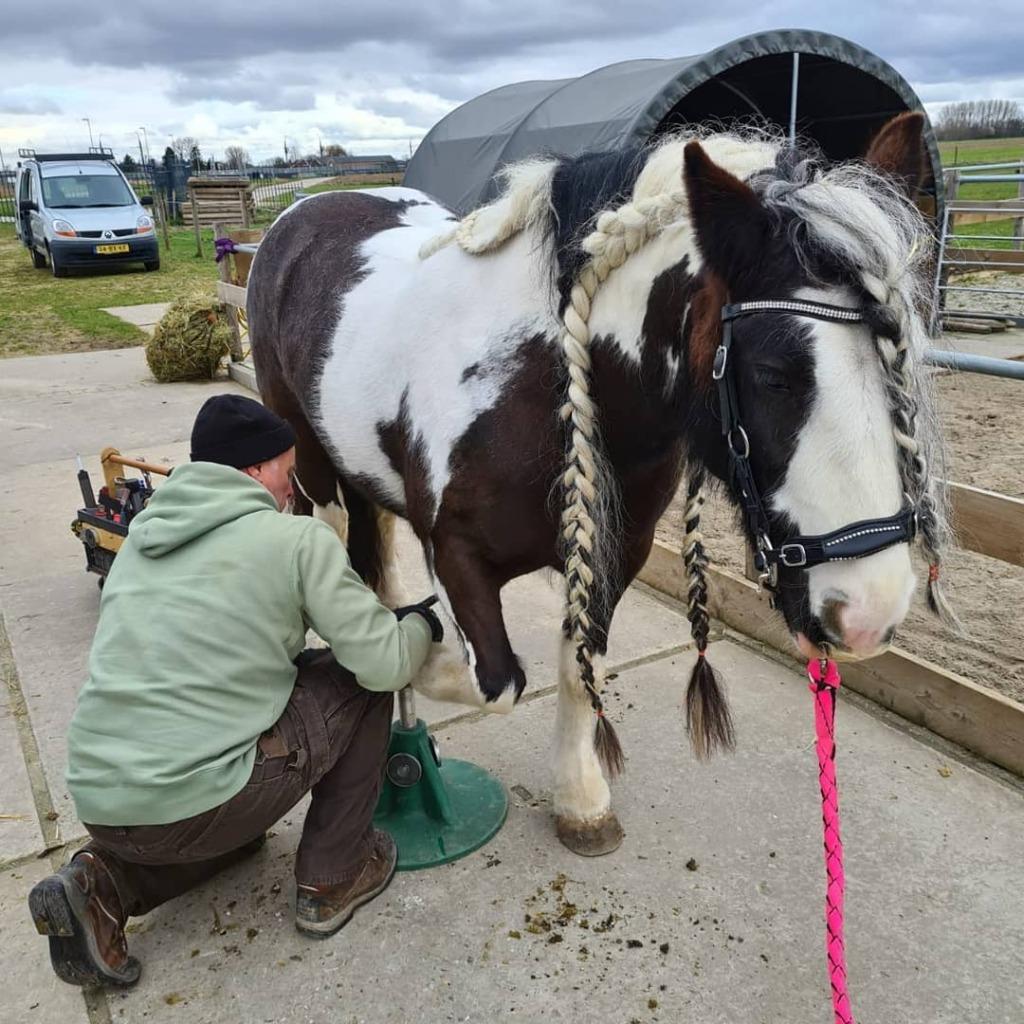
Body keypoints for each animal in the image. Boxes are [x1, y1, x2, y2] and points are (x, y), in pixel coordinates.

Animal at [247, 112, 954, 856]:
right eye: (772, 373)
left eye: (902, 364)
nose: (870, 609)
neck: (552, 381)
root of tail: (301, 212)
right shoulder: (456, 554)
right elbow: (495, 679)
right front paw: (409, 658)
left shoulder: (613, 554)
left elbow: (575, 667)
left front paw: (581, 799)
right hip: (312, 464)